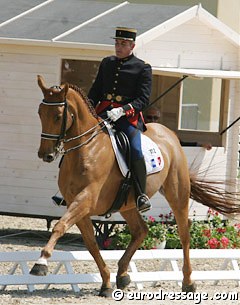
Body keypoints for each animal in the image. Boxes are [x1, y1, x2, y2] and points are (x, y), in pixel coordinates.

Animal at [30, 75, 240, 296]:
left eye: (57, 116)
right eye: (40, 112)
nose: (45, 154)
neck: (87, 149)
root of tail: (170, 134)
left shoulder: (86, 199)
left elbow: (59, 226)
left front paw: (41, 263)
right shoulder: (77, 205)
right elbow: (91, 244)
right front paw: (106, 283)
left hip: (177, 194)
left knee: (184, 233)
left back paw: (188, 281)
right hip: (128, 204)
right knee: (141, 230)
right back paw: (123, 275)